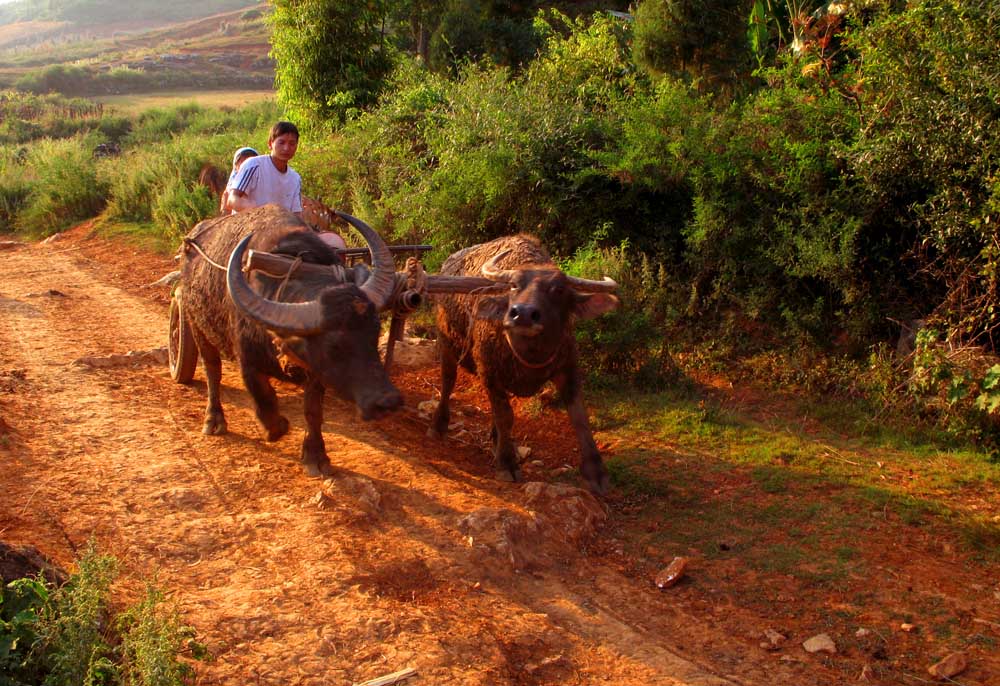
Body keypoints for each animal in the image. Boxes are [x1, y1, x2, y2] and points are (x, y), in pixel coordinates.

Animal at [180, 204, 402, 478]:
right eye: (334, 346)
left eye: (375, 332)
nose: (387, 401)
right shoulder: (247, 362)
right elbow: (263, 397)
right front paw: (276, 427)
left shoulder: (316, 372)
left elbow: (313, 411)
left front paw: (315, 455)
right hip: (196, 324)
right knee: (212, 371)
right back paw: (213, 420)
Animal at [428, 235, 616, 494]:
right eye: (514, 286)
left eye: (558, 289)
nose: (523, 314)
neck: (530, 351)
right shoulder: (489, 371)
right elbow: (505, 415)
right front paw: (506, 463)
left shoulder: (568, 368)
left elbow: (580, 416)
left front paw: (596, 473)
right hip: (446, 342)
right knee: (448, 381)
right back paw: (439, 424)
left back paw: (496, 438)